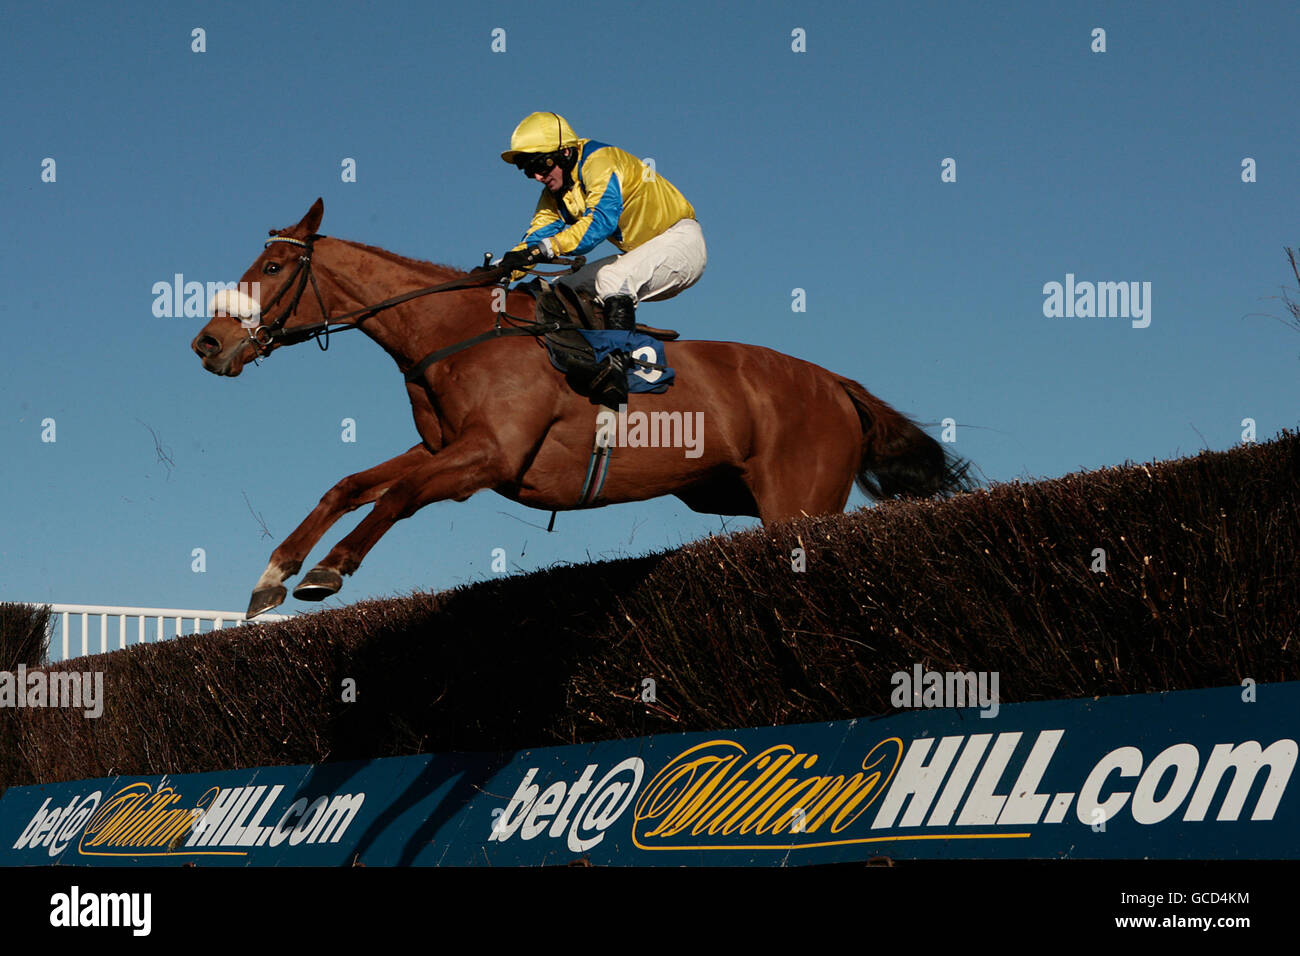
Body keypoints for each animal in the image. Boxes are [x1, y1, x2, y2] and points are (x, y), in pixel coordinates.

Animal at [188, 201, 972, 621]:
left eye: (272, 269)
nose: (208, 341)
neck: (456, 331)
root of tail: (835, 382)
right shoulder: (446, 448)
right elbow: (349, 485)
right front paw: (273, 574)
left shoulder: (488, 458)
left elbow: (399, 496)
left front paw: (328, 570)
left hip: (798, 504)